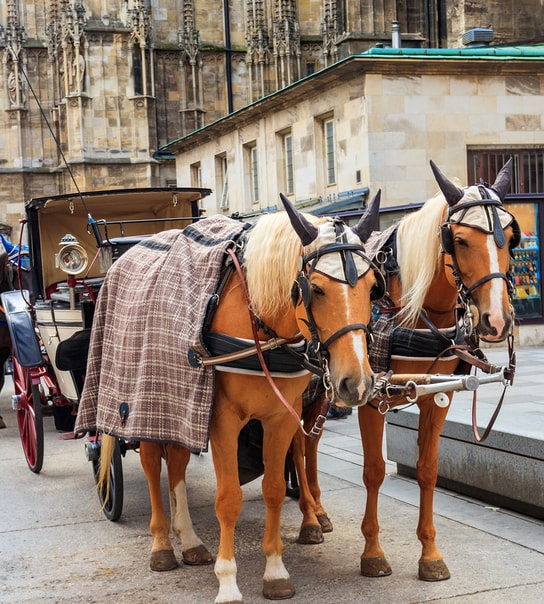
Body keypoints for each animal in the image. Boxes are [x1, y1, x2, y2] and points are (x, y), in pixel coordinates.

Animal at [92, 195, 382, 604]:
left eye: (373, 287)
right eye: (317, 289)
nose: (355, 382)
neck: (259, 323)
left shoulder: (280, 418)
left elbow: (274, 490)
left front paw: (275, 571)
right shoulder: (221, 420)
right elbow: (228, 498)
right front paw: (228, 581)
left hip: (183, 407)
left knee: (176, 462)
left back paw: (189, 540)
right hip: (144, 404)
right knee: (152, 465)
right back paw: (162, 544)